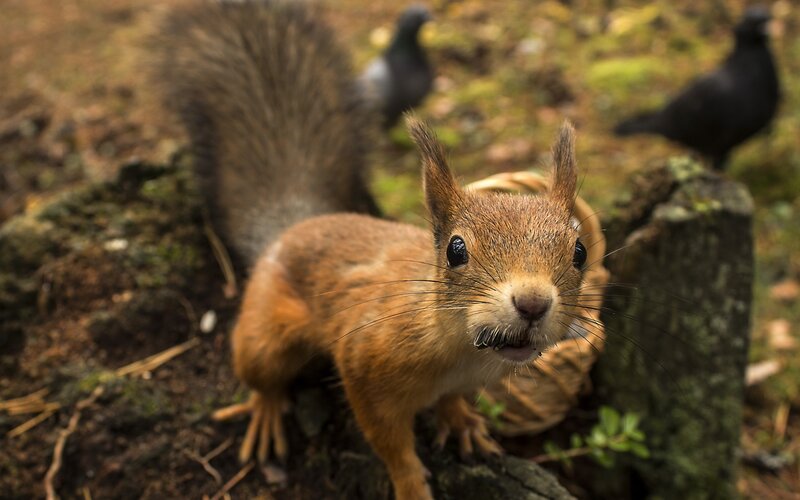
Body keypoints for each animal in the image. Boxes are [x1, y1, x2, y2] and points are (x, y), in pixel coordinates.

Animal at [154, 1, 587, 499]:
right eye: (455, 250)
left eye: (580, 251)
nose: (533, 303)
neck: (461, 351)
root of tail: (292, 227)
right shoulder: (364, 365)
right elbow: (390, 443)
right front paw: (411, 484)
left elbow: (451, 400)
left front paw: (460, 420)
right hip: (264, 334)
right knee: (261, 373)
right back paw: (265, 410)